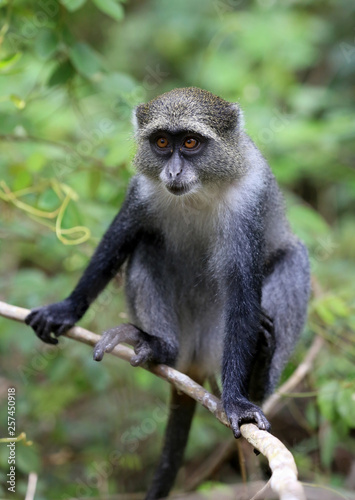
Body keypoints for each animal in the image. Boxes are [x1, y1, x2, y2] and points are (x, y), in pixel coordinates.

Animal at [25, 88, 310, 498]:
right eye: (161, 142)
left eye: (190, 143)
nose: (173, 172)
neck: (200, 190)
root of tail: (193, 361)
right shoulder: (141, 190)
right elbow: (120, 238)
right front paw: (67, 309)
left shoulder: (248, 202)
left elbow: (243, 291)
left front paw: (237, 402)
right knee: (147, 244)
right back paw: (159, 346)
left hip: (216, 339)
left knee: (294, 258)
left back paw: (258, 372)